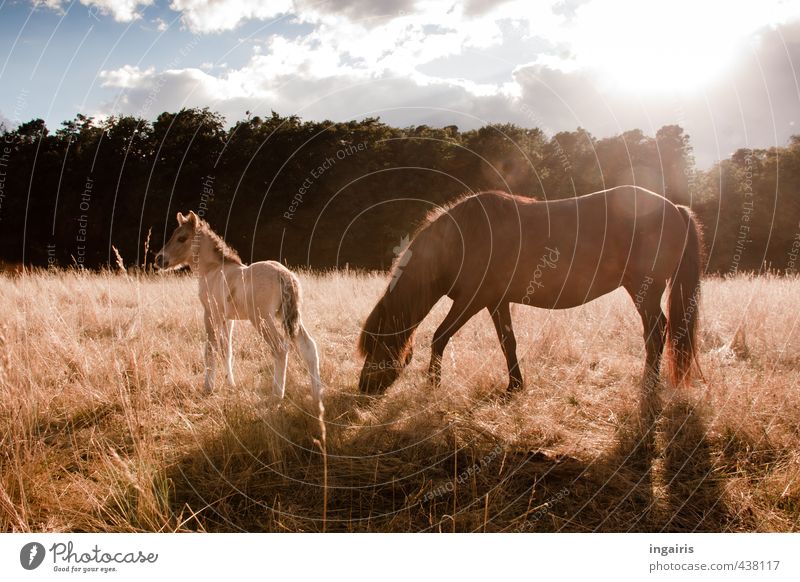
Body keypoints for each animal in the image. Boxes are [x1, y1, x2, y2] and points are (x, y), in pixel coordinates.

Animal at [155, 212, 324, 412]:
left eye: (182, 238)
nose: (159, 259)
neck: (212, 270)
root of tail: (284, 274)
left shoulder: (210, 314)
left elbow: (210, 350)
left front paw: (208, 387)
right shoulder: (228, 319)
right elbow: (226, 350)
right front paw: (231, 385)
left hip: (262, 319)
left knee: (280, 348)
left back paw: (277, 395)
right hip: (287, 317)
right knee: (309, 347)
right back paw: (317, 396)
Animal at [356, 187, 700, 396]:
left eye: (375, 344)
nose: (362, 387)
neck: (463, 239)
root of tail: (675, 208)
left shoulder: (472, 300)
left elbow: (440, 337)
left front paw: (433, 385)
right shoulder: (496, 302)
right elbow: (508, 342)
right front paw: (515, 386)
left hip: (645, 291)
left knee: (655, 333)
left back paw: (649, 386)